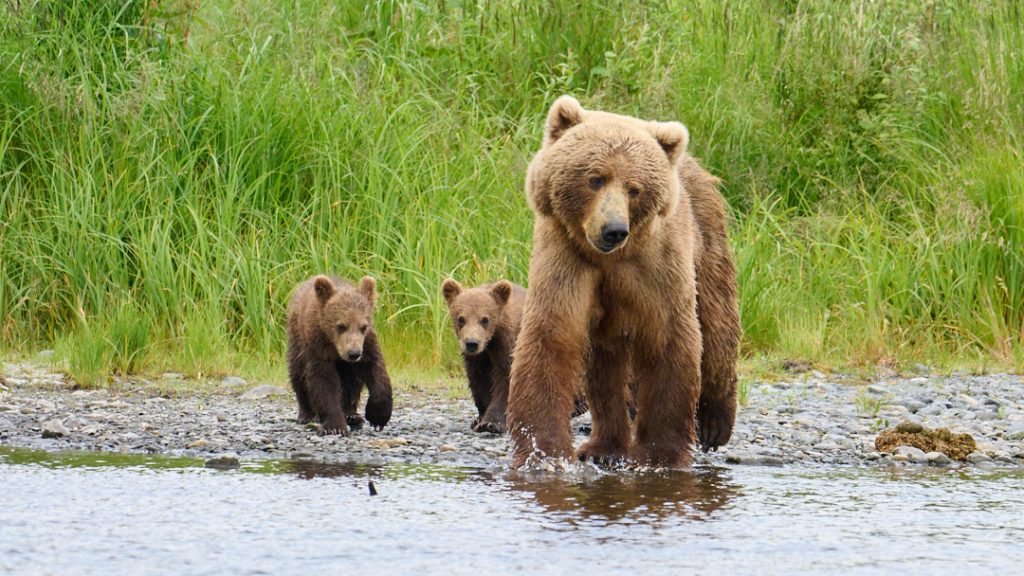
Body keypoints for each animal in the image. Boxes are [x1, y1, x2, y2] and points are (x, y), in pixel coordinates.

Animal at [286, 274, 393, 436]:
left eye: (363, 326)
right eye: (341, 326)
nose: (353, 353)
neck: (334, 346)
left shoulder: (367, 344)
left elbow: (375, 369)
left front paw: (377, 417)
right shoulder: (318, 345)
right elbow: (323, 381)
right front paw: (335, 426)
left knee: (352, 381)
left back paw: (351, 415)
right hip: (297, 341)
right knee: (298, 374)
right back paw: (306, 415)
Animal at [506, 96, 740, 468]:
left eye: (634, 188)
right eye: (595, 179)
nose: (613, 230)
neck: (609, 259)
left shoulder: (656, 266)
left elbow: (669, 339)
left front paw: (660, 455)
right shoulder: (567, 258)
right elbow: (551, 336)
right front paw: (543, 453)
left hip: (707, 236)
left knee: (717, 324)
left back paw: (714, 423)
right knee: (606, 368)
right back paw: (603, 446)